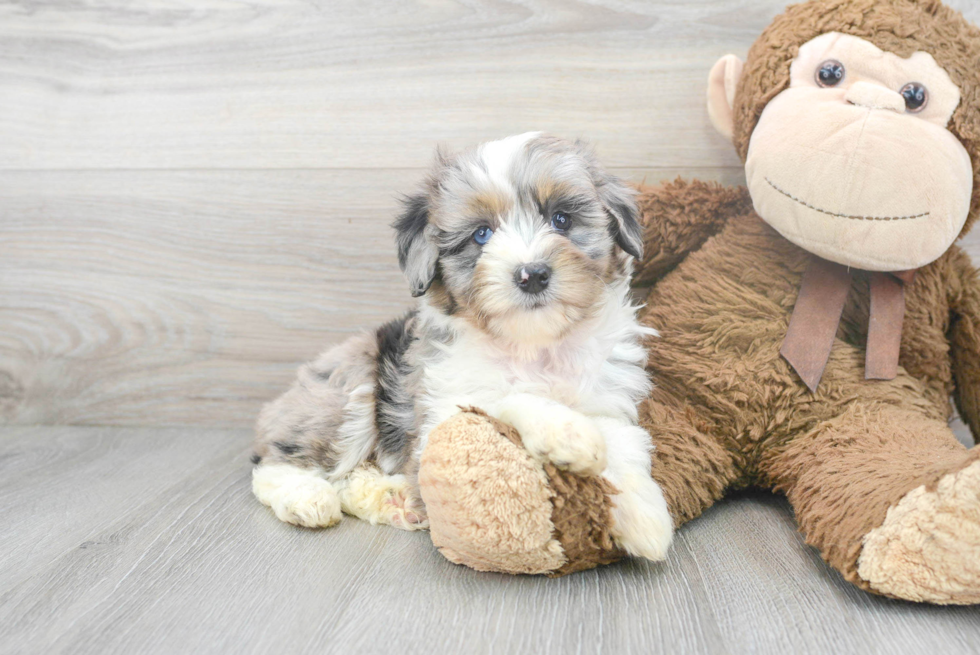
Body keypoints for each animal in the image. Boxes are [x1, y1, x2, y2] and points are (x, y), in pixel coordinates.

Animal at [251, 133, 672, 564]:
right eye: (481, 234)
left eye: (562, 219)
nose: (532, 274)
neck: (533, 344)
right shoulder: (440, 418)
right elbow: (503, 400)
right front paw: (567, 432)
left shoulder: (609, 400)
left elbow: (624, 445)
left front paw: (644, 515)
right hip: (350, 388)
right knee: (276, 463)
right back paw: (307, 497)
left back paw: (391, 500)